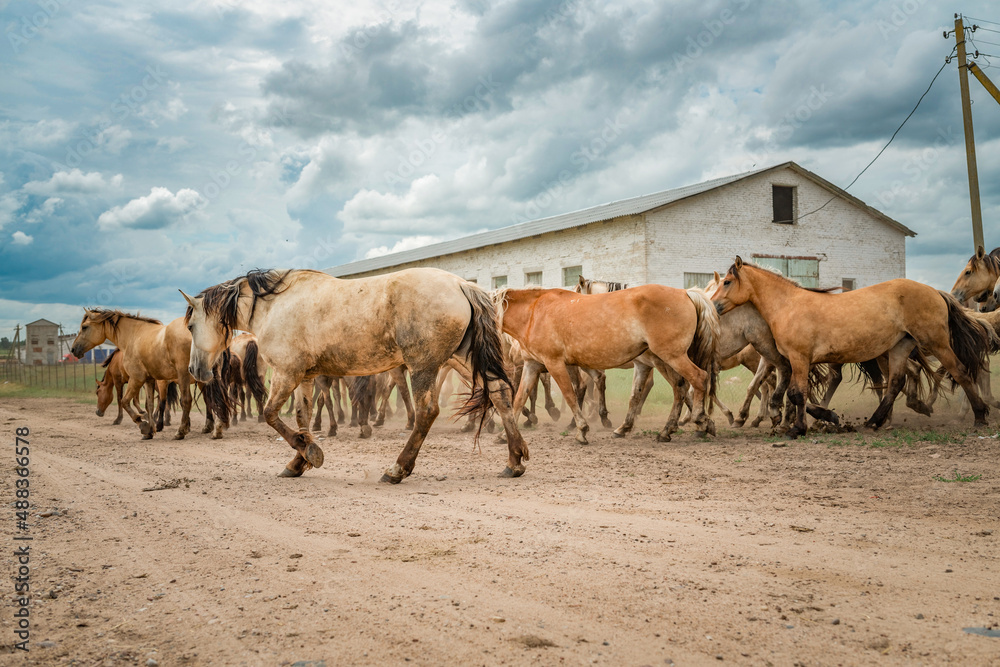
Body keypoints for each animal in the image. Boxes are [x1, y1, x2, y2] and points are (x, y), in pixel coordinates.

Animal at [72, 312, 232, 440]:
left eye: (84, 327)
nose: (73, 349)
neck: (134, 336)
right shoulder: (148, 380)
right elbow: (149, 405)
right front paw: (150, 430)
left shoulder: (136, 379)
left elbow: (124, 401)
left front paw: (143, 425)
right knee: (216, 398)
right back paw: (216, 429)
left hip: (185, 375)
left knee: (187, 400)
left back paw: (181, 432)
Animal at [185, 268, 532, 482]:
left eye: (190, 325)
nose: (194, 370)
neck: (275, 305)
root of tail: (462, 284)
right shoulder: (304, 377)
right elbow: (302, 417)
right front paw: (298, 461)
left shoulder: (286, 373)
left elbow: (272, 415)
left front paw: (310, 452)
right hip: (461, 359)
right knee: (501, 394)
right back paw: (514, 460)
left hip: (424, 367)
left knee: (426, 412)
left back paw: (397, 468)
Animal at [498, 284, 720, 440]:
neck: (535, 312)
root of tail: (686, 293)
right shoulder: (532, 365)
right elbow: (519, 398)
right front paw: (504, 435)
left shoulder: (555, 363)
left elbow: (570, 395)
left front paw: (581, 429)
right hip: (664, 360)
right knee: (679, 388)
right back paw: (665, 429)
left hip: (672, 356)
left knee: (698, 379)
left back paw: (699, 419)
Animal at [712, 258, 992, 438]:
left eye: (726, 282)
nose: (712, 306)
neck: (787, 305)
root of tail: (935, 291)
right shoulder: (792, 361)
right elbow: (792, 394)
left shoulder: (799, 358)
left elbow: (797, 394)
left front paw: (797, 429)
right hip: (900, 347)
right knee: (895, 383)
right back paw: (874, 421)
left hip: (936, 342)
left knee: (960, 372)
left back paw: (980, 416)